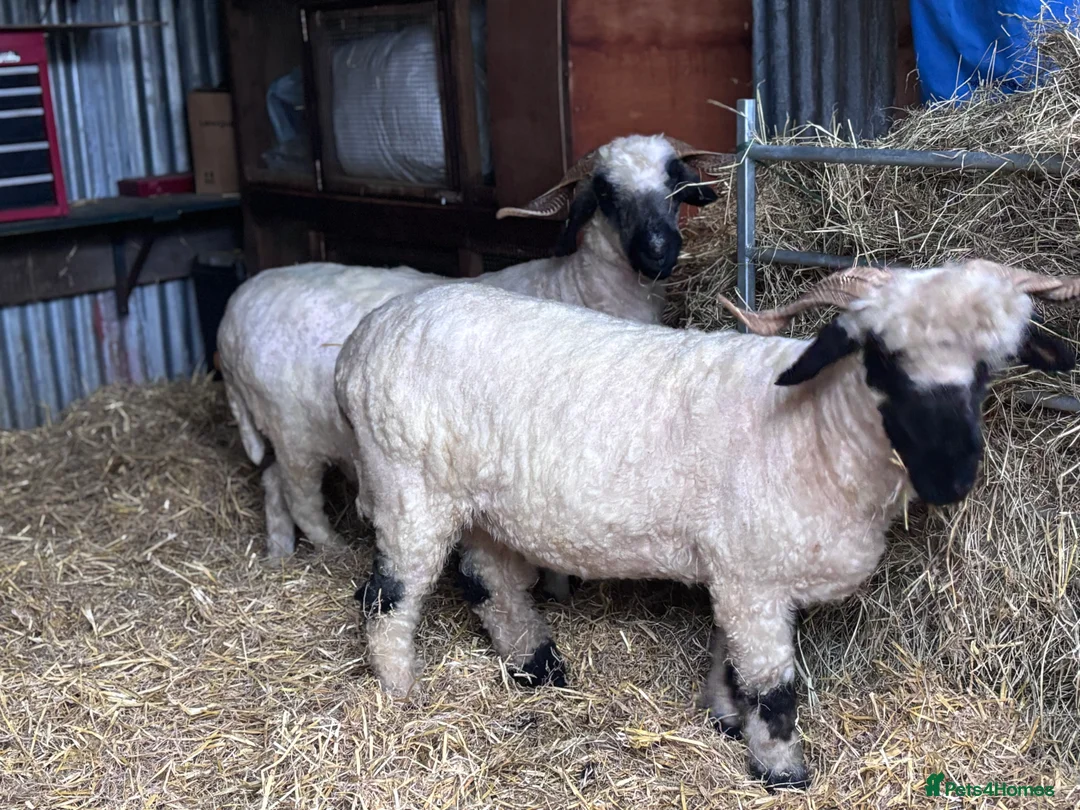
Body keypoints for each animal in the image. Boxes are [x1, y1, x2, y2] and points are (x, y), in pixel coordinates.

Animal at [217, 134, 729, 581]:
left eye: (675, 179)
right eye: (604, 191)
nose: (658, 252)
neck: (577, 284)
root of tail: (230, 317)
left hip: (289, 434)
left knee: (271, 486)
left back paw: (278, 555)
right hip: (295, 434)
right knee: (301, 500)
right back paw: (333, 552)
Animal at [334, 260, 1079, 790]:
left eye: (988, 366)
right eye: (881, 357)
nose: (952, 478)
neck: (813, 431)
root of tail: (360, 342)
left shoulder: (739, 568)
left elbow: (731, 655)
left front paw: (723, 715)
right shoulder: (754, 576)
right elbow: (773, 687)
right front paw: (782, 770)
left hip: (479, 503)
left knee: (491, 584)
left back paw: (537, 666)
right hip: (408, 487)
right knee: (387, 599)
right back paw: (400, 694)